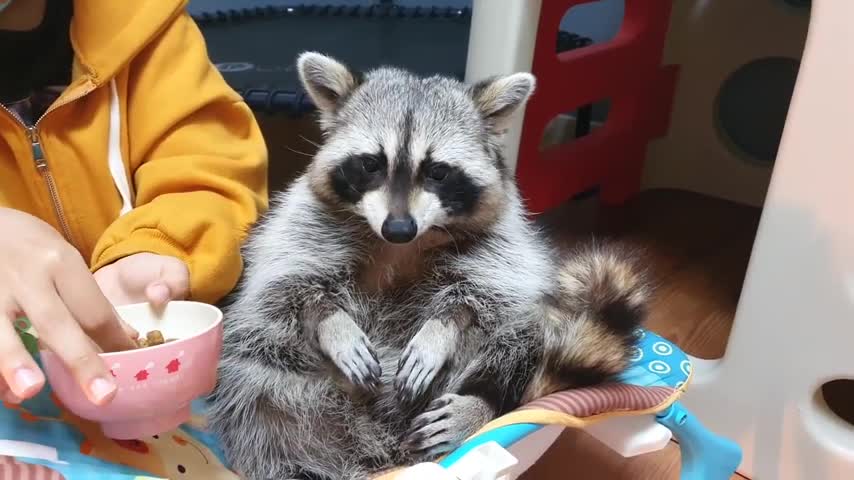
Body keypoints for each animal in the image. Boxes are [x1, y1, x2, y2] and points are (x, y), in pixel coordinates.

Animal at [206, 52, 648, 480]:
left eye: (438, 172)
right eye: (371, 164)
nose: (398, 228)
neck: (402, 245)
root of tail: (385, 444)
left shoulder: (502, 247)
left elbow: (485, 296)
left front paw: (442, 328)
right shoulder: (301, 227)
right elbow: (289, 284)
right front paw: (334, 322)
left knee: (520, 333)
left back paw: (480, 405)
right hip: (274, 379)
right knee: (257, 383)